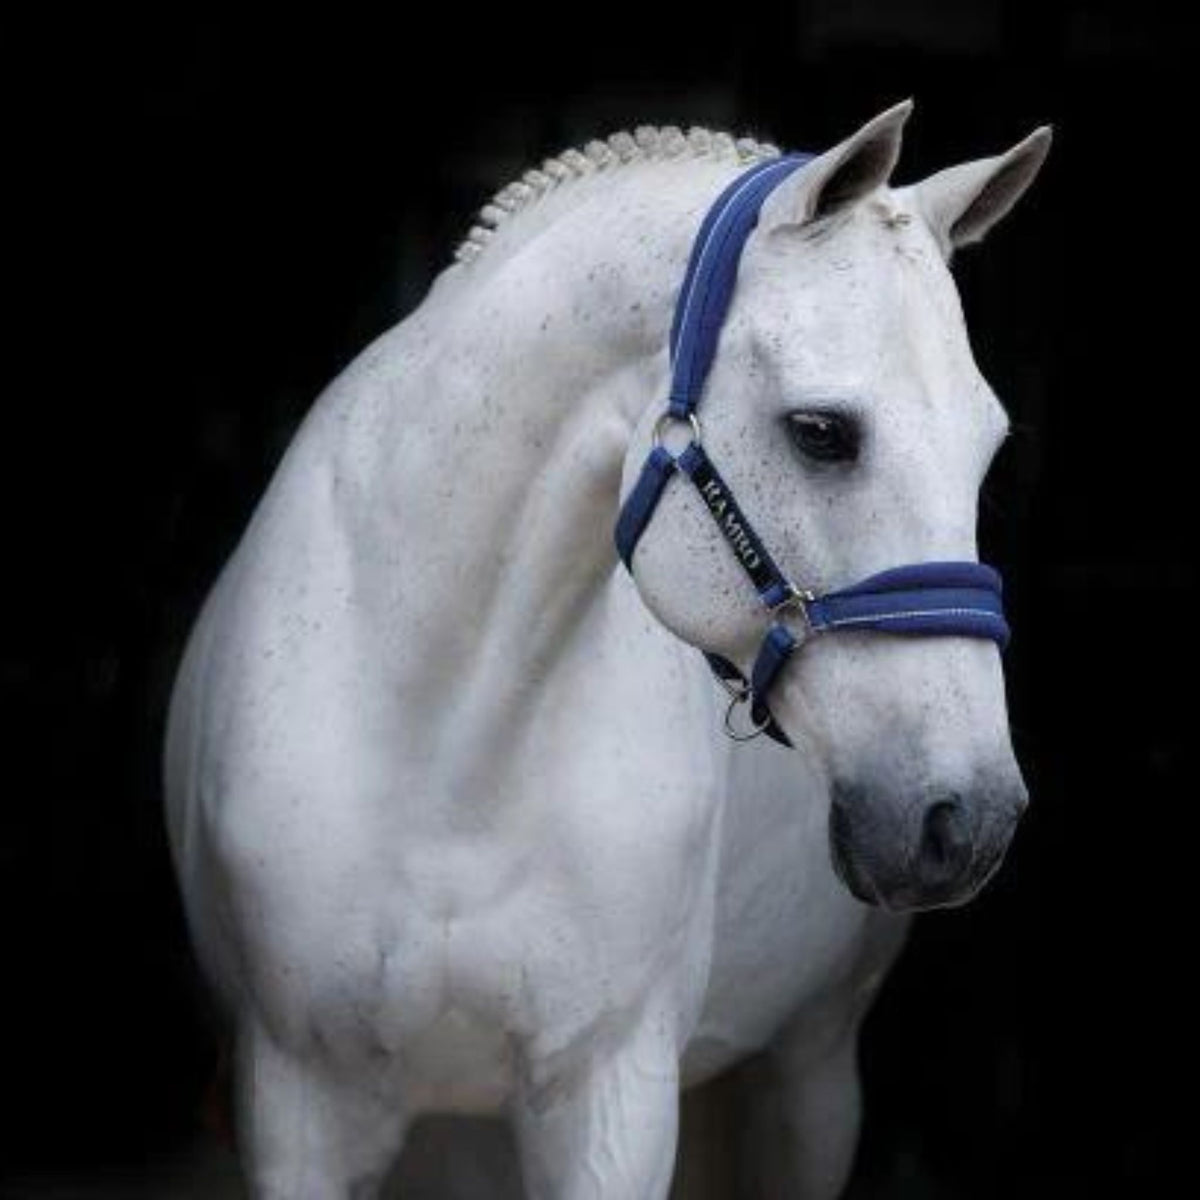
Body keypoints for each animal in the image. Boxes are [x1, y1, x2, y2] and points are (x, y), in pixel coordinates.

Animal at [166, 105, 1051, 1200]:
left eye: (988, 446)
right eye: (820, 431)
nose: (964, 820)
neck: (450, 751)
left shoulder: (609, 1099)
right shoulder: (299, 1108)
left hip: (806, 1074)